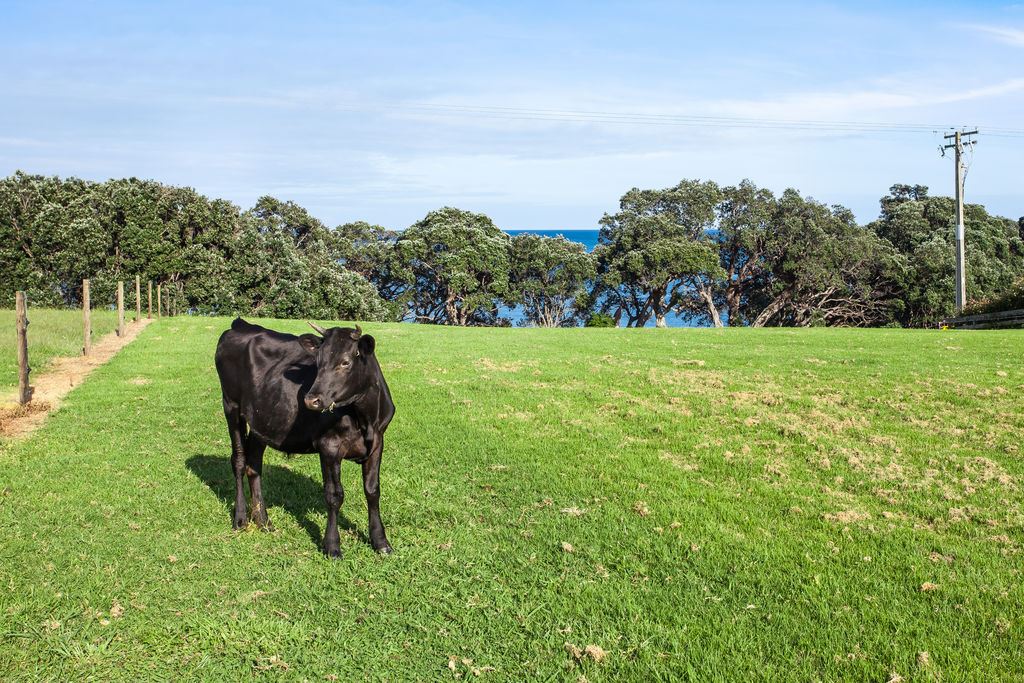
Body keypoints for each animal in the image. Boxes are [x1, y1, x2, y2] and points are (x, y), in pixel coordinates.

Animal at [214, 317, 393, 557]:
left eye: (345, 362)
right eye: (318, 362)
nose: (311, 400)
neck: (365, 418)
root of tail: (242, 324)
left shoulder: (378, 443)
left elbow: (373, 490)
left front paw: (381, 541)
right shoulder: (329, 446)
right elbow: (334, 495)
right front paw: (332, 546)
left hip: (263, 420)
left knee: (254, 465)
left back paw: (263, 521)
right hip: (231, 405)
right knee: (239, 461)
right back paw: (241, 518)